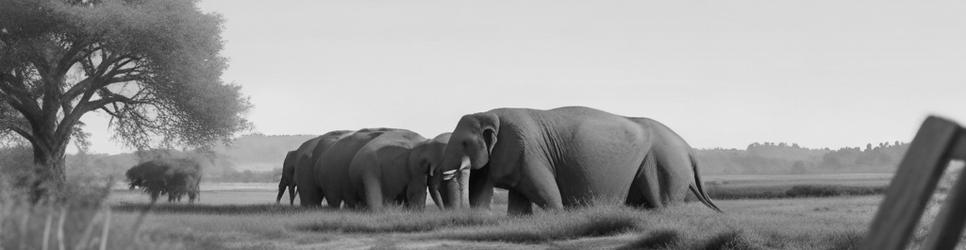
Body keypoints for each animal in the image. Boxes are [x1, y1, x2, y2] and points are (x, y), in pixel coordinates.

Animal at [432, 106, 720, 215]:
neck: (488, 112)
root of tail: (690, 149)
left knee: (661, 202)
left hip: (662, 163)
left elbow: (546, 194)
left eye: (464, 143)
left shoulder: (526, 151)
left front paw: (558, 215)